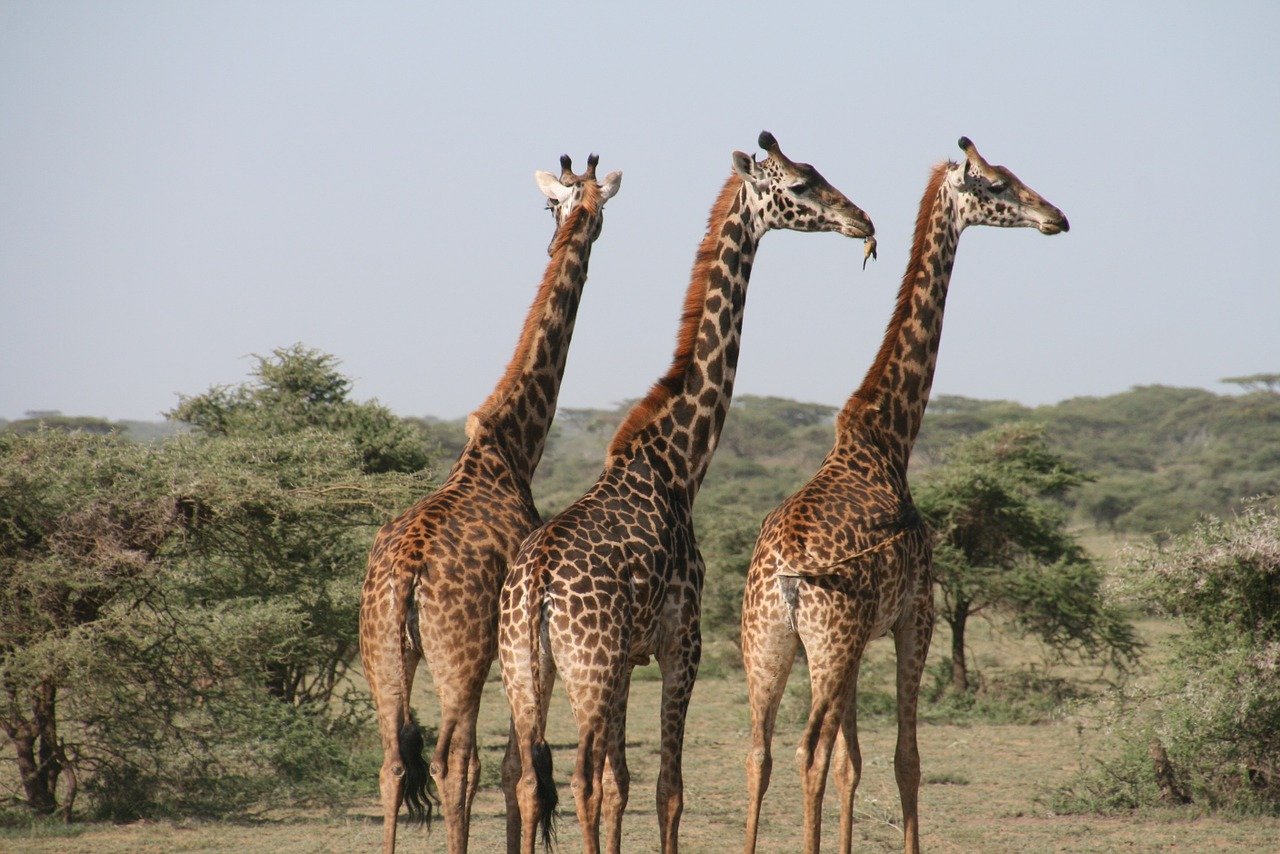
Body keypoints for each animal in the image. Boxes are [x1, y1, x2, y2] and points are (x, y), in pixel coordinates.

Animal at [359, 153, 621, 854]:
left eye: (560, 204)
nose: (573, 231)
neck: (512, 447)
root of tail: (406, 574)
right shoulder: (514, 650)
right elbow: (513, 767)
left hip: (380, 652)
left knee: (391, 762)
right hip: (461, 656)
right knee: (455, 760)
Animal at [498, 131, 876, 854]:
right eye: (800, 184)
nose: (863, 221)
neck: (679, 461)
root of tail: (535, 586)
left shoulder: (629, 659)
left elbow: (622, 783)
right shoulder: (684, 641)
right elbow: (666, 788)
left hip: (528, 671)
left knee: (530, 779)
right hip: (586, 669)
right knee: (577, 780)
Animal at [739, 137, 1069, 854]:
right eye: (997, 184)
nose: (1056, 216)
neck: (889, 437)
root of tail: (784, 576)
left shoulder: (865, 634)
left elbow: (854, 763)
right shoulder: (914, 616)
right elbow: (904, 758)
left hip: (767, 645)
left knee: (760, 753)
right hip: (828, 642)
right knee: (808, 751)